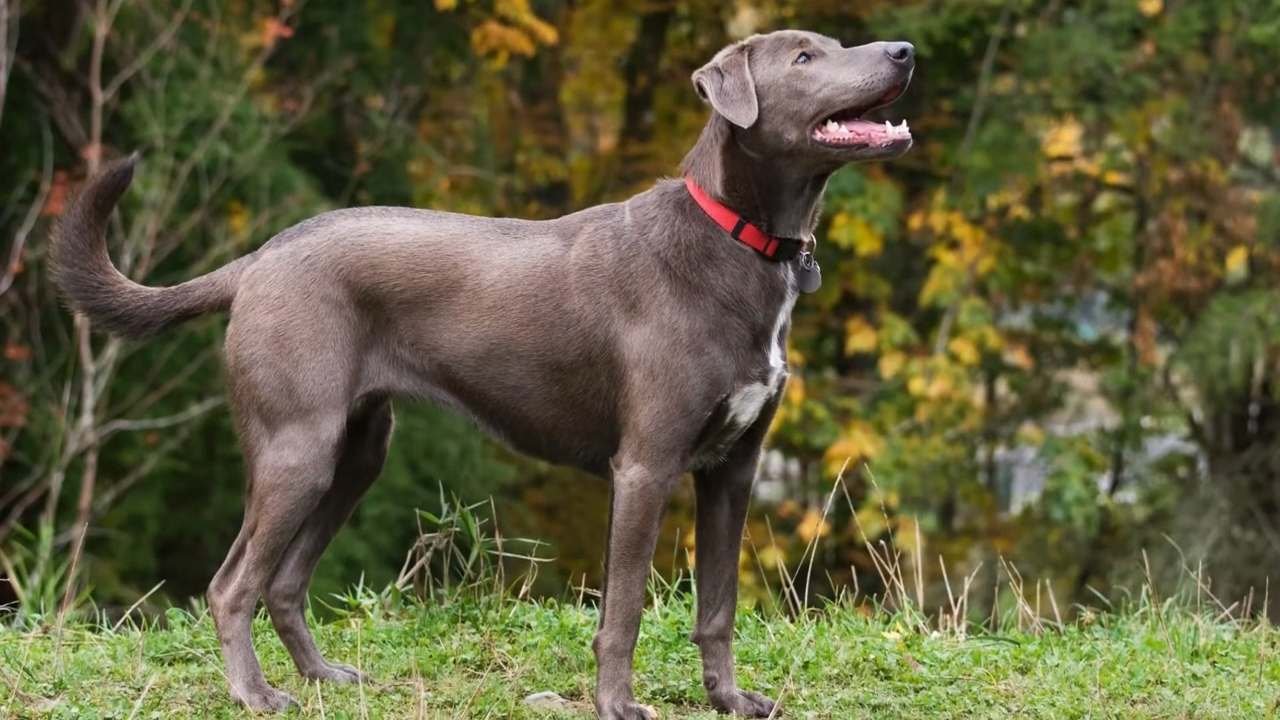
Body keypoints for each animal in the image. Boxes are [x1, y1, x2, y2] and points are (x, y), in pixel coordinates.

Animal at [47, 29, 911, 717]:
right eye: (804, 58)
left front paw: (729, 700)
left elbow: (718, 608)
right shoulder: (645, 468)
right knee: (232, 586)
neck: (735, 240)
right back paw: (256, 694)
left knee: (284, 583)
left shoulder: (734, 470)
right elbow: (624, 610)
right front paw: (617, 705)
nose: (903, 52)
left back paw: (325, 678)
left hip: (358, 454)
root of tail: (258, 259)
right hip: (298, 449)